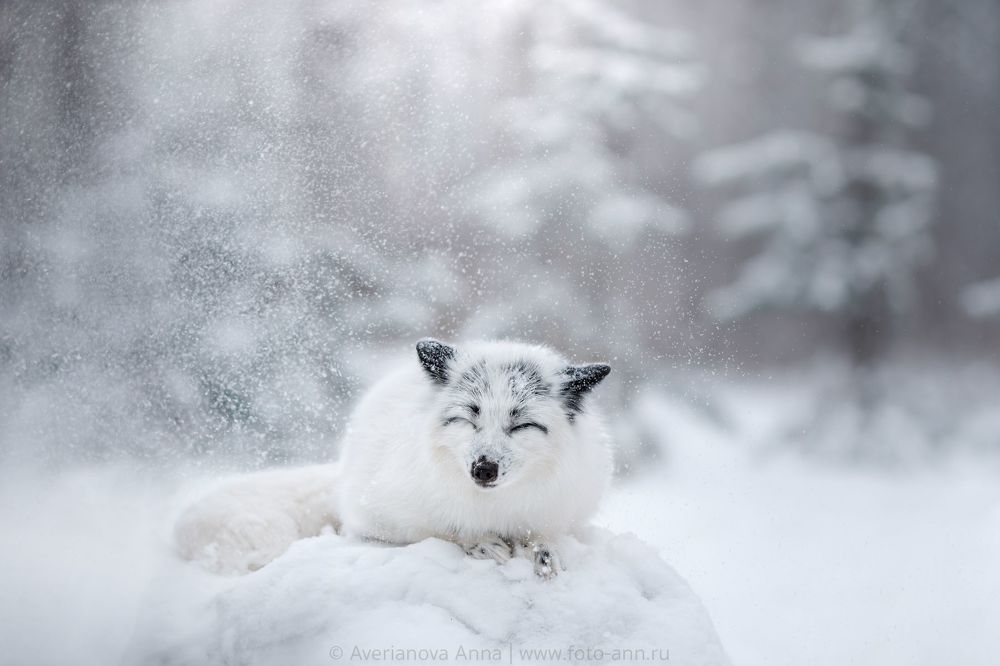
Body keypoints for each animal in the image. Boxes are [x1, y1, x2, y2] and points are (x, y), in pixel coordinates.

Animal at [174, 338, 613, 579]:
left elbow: (544, 536)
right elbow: (444, 531)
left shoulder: (560, 512)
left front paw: (544, 553)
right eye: (469, 417)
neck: (494, 508)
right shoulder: (380, 519)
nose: (483, 469)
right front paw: (480, 544)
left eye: (520, 424)